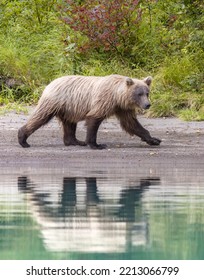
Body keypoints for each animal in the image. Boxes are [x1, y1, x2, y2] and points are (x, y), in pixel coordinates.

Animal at [17, 74, 161, 149]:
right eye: (139, 94)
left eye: (147, 93)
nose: (147, 104)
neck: (117, 96)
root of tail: (50, 83)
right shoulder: (104, 101)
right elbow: (94, 119)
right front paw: (96, 144)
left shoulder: (122, 108)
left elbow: (131, 124)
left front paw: (154, 139)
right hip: (55, 102)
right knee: (40, 117)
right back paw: (23, 140)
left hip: (69, 108)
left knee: (69, 123)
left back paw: (75, 141)